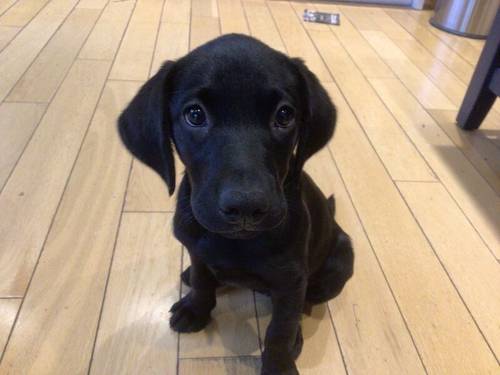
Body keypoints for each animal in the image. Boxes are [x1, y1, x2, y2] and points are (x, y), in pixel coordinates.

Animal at [118, 33, 354, 374]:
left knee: (307, 301)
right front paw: (196, 309)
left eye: (284, 115)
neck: (236, 243)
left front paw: (279, 364)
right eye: (195, 115)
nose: (245, 207)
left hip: (338, 263)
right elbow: (202, 280)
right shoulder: (196, 248)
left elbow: (280, 328)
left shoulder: (291, 280)